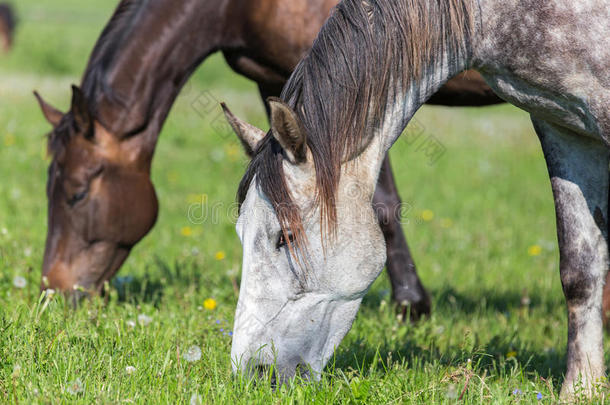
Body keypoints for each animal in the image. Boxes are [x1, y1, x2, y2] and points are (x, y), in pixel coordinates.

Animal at [34, 0, 498, 312]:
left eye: (77, 193)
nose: (52, 289)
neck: (234, 8)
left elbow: (380, 201)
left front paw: (410, 305)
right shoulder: (276, 79)